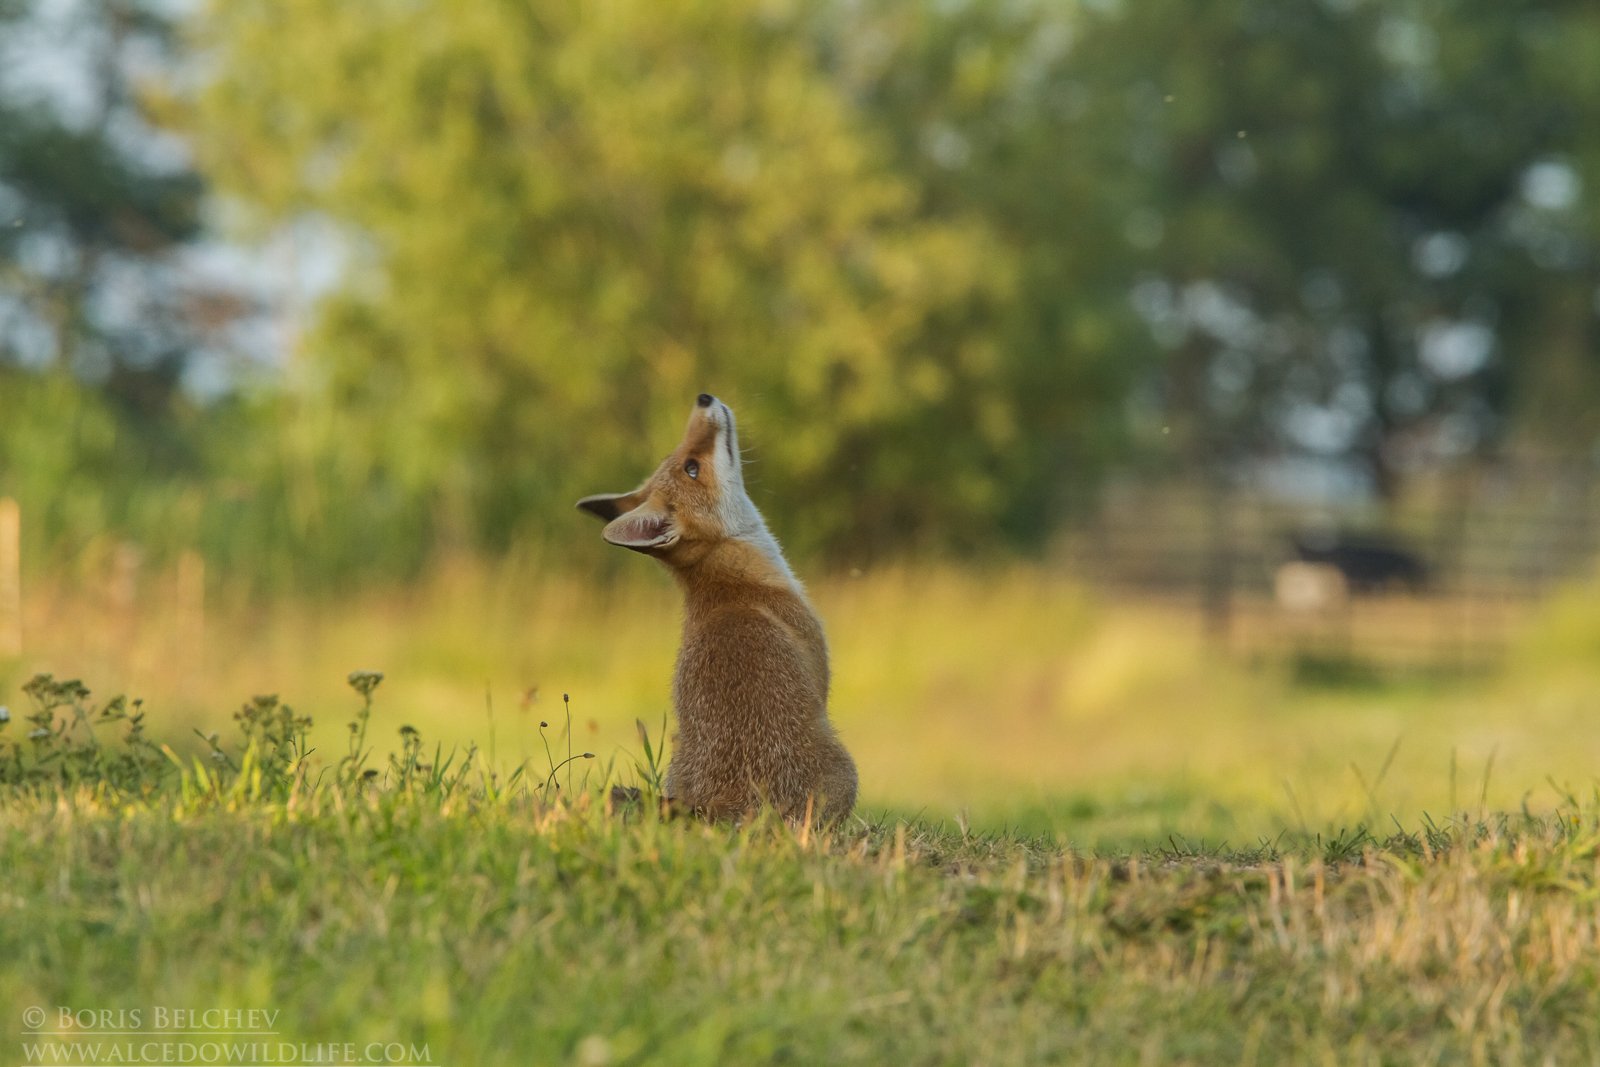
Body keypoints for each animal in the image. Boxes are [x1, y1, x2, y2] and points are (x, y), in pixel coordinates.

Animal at [579, 395, 857, 825]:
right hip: (846, 773)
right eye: (691, 467)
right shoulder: (819, 667)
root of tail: (719, 806)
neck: (735, 585)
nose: (703, 398)